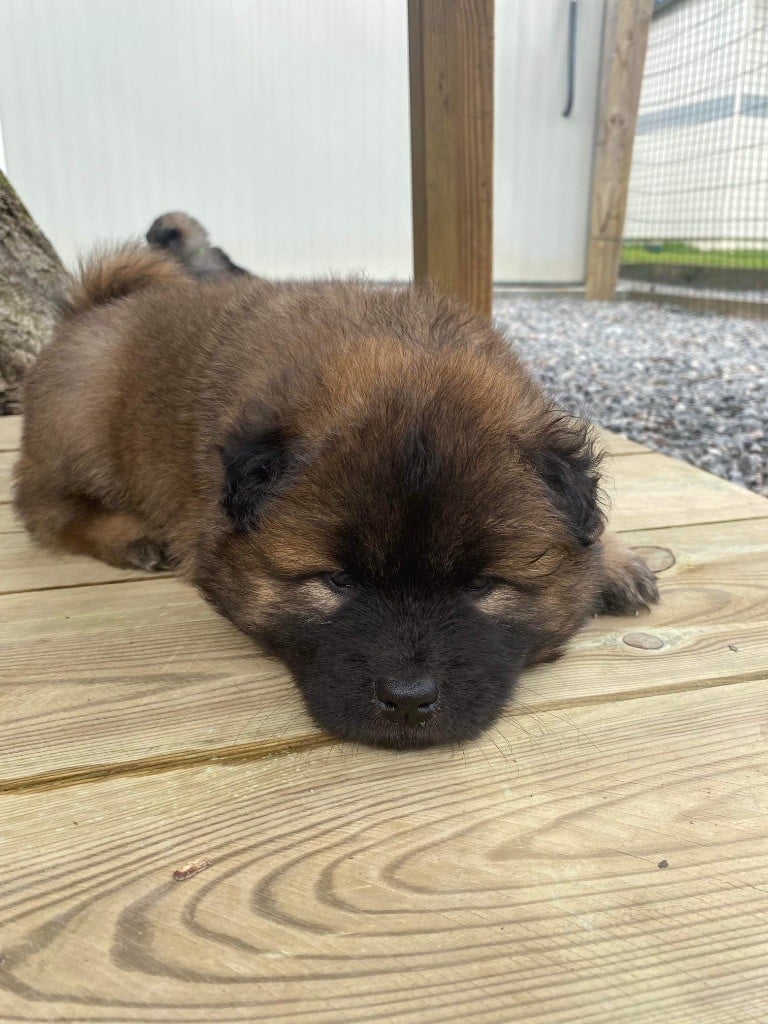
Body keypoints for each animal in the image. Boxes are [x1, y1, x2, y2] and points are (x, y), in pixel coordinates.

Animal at [14, 244, 659, 748]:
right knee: (47, 509)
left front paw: (616, 561)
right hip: (81, 427)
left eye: (481, 585)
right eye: (339, 581)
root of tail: (88, 312)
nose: (407, 700)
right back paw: (131, 537)